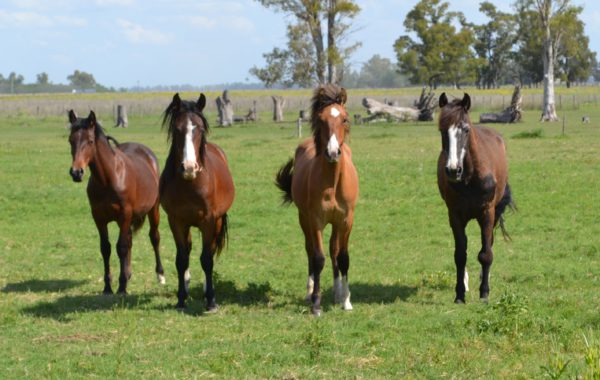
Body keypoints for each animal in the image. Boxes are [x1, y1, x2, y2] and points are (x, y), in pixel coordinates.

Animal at [67, 110, 164, 294]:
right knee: (130, 239)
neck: (109, 178)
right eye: (71, 140)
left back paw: (160, 275)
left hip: (153, 209)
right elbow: (106, 248)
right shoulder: (99, 217)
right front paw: (108, 287)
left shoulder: (124, 214)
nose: (76, 172)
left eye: (90, 141)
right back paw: (128, 273)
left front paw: (121, 287)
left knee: (154, 237)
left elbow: (122, 247)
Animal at [161, 93, 236, 312]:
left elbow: (207, 259)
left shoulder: (209, 221)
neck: (190, 184)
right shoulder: (176, 221)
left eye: (200, 129)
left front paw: (211, 301)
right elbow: (181, 259)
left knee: (208, 251)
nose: (189, 167)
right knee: (187, 250)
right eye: (177, 129)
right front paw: (181, 299)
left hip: (216, 222)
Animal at [276, 84, 358, 316]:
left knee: (334, 250)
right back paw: (310, 291)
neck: (332, 183)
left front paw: (346, 301)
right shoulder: (316, 221)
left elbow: (343, 257)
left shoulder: (346, 220)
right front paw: (316, 304)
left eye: (345, 119)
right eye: (321, 119)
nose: (332, 152)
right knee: (310, 251)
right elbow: (318, 258)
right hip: (304, 219)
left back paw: (338, 293)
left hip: (335, 223)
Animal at [436, 93, 516, 304]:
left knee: (489, 244)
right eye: (442, 130)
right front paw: (459, 294)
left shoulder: (487, 212)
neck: (470, 178)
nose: (453, 170)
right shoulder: (455, 215)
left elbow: (485, 254)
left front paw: (484, 293)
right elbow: (460, 255)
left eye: (465, 129)